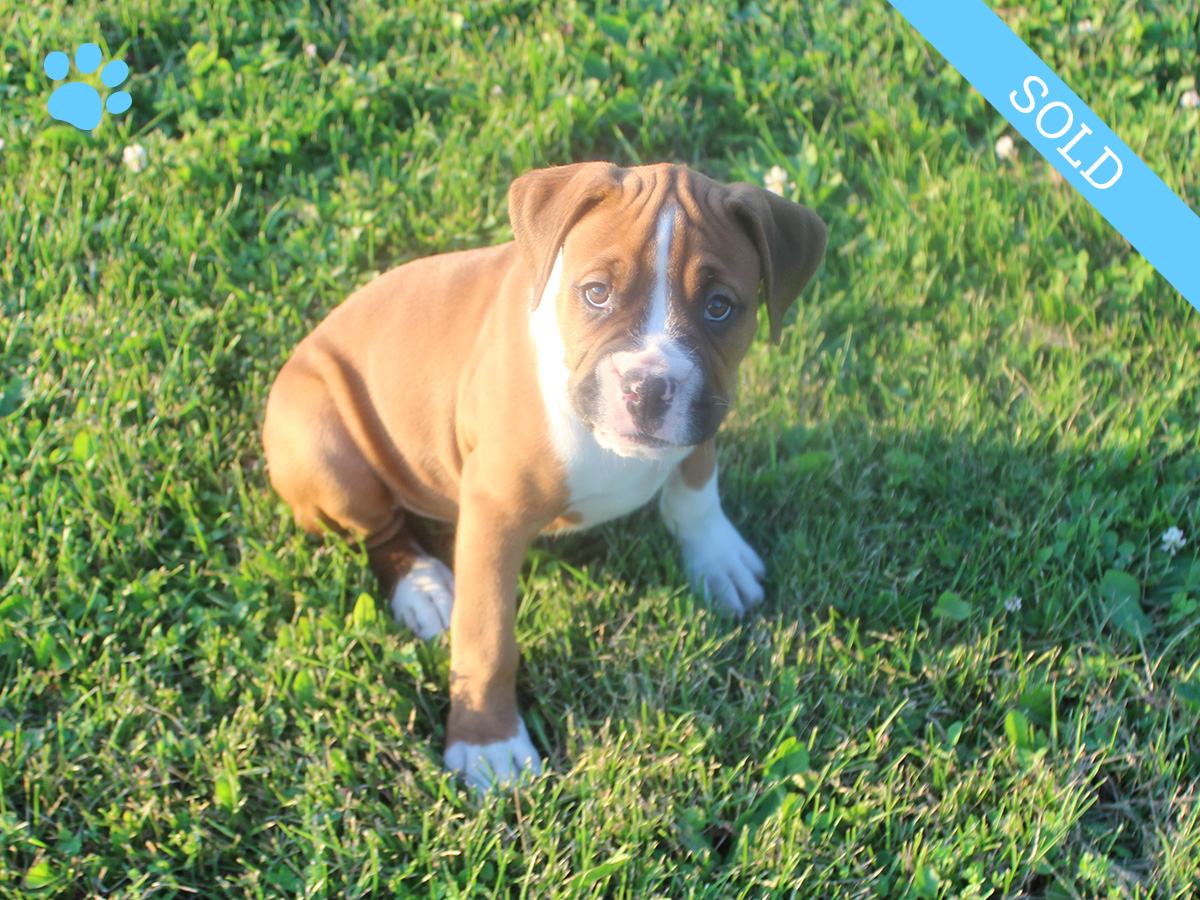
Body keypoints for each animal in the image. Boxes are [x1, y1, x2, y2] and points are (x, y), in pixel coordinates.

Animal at [262, 162, 825, 787]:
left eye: (720, 307)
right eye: (597, 293)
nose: (648, 387)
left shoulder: (704, 416)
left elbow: (696, 491)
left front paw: (717, 559)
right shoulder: (493, 514)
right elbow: (486, 637)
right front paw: (488, 742)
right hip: (324, 448)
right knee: (377, 530)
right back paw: (423, 587)